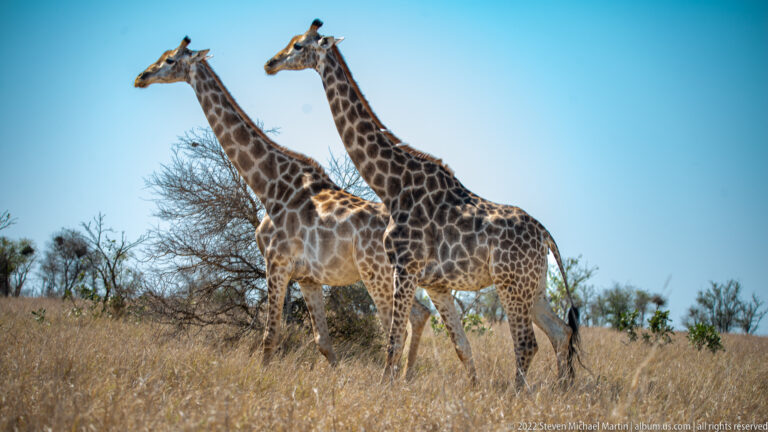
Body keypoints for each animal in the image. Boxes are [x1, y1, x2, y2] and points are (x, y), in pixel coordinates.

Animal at [134, 37, 430, 375]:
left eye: (170, 60)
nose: (141, 77)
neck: (269, 186)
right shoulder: (308, 277)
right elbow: (323, 342)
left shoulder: (276, 263)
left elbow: (270, 336)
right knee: (417, 315)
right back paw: (406, 378)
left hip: (377, 273)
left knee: (398, 325)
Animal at [265, 20, 580, 388]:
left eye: (299, 45)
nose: (270, 63)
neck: (393, 185)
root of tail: (545, 234)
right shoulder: (434, 282)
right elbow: (458, 345)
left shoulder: (405, 266)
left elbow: (393, 341)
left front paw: (386, 389)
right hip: (535, 286)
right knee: (561, 332)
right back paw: (563, 390)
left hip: (510, 282)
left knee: (527, 343)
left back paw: (521, 395)